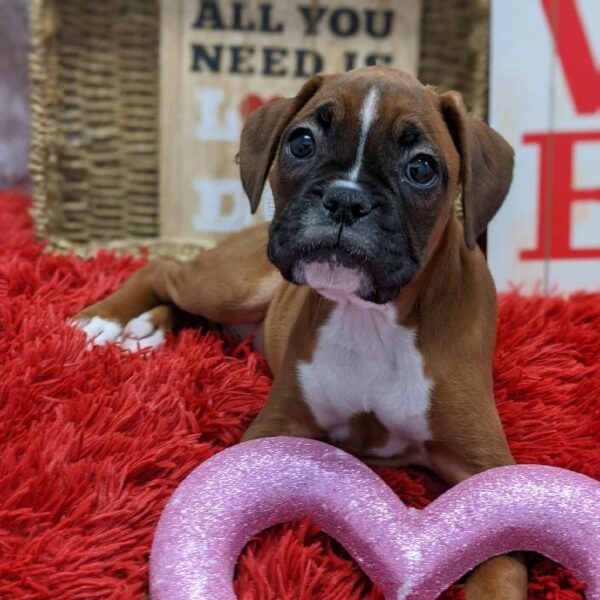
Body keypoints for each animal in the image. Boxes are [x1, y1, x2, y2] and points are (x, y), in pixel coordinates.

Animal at [75, 68, 524, 596]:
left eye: (421, 169)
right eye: (302, 143)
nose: (346, 199)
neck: (371, 319)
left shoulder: (488, 470)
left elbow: (500, 567)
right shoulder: (275, 428)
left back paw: (147, 330)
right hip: (233, 284)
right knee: (162, 269)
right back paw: (106, 319)